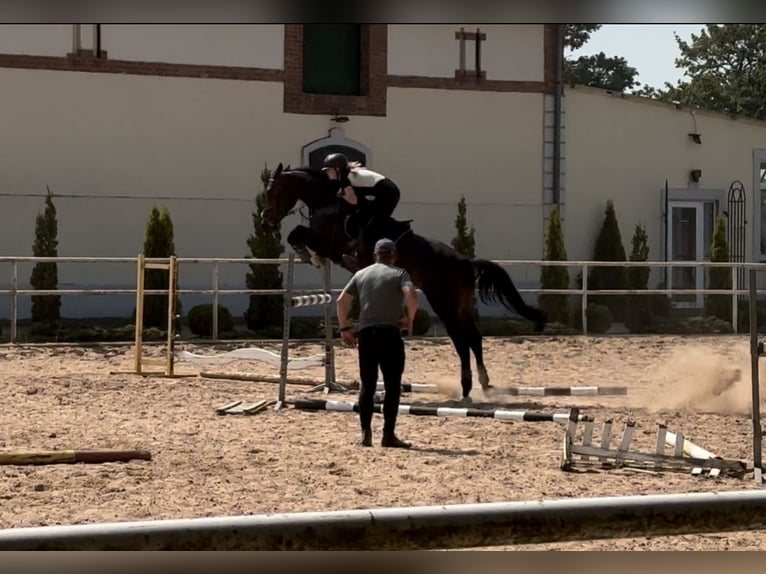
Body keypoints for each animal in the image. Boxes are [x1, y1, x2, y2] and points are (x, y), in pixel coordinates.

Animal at [260, 162, 548, 400]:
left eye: (274, 191)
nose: (265, 220)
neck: (327, 200)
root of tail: (467, 261)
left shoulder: (329, 242)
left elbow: (298, 234)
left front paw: (309, 255)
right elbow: (298, 233)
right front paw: (310, 256)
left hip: (443, 302)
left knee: (461, 340)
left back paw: (466, 389)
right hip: (463, 304)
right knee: (475, 339)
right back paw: (484, 384)